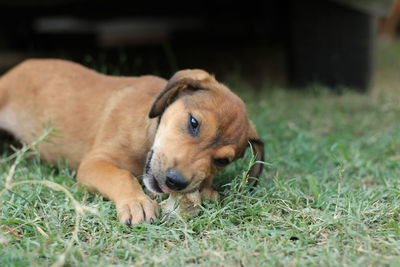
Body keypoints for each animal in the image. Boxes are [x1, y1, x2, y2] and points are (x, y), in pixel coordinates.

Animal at [0, 59, 264, 226]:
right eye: (193, 123)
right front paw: (137, 203)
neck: (149, 131)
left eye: (222, 161)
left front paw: (207, 189)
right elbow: (121, 175)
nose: (176, 182)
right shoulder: (95, 163)